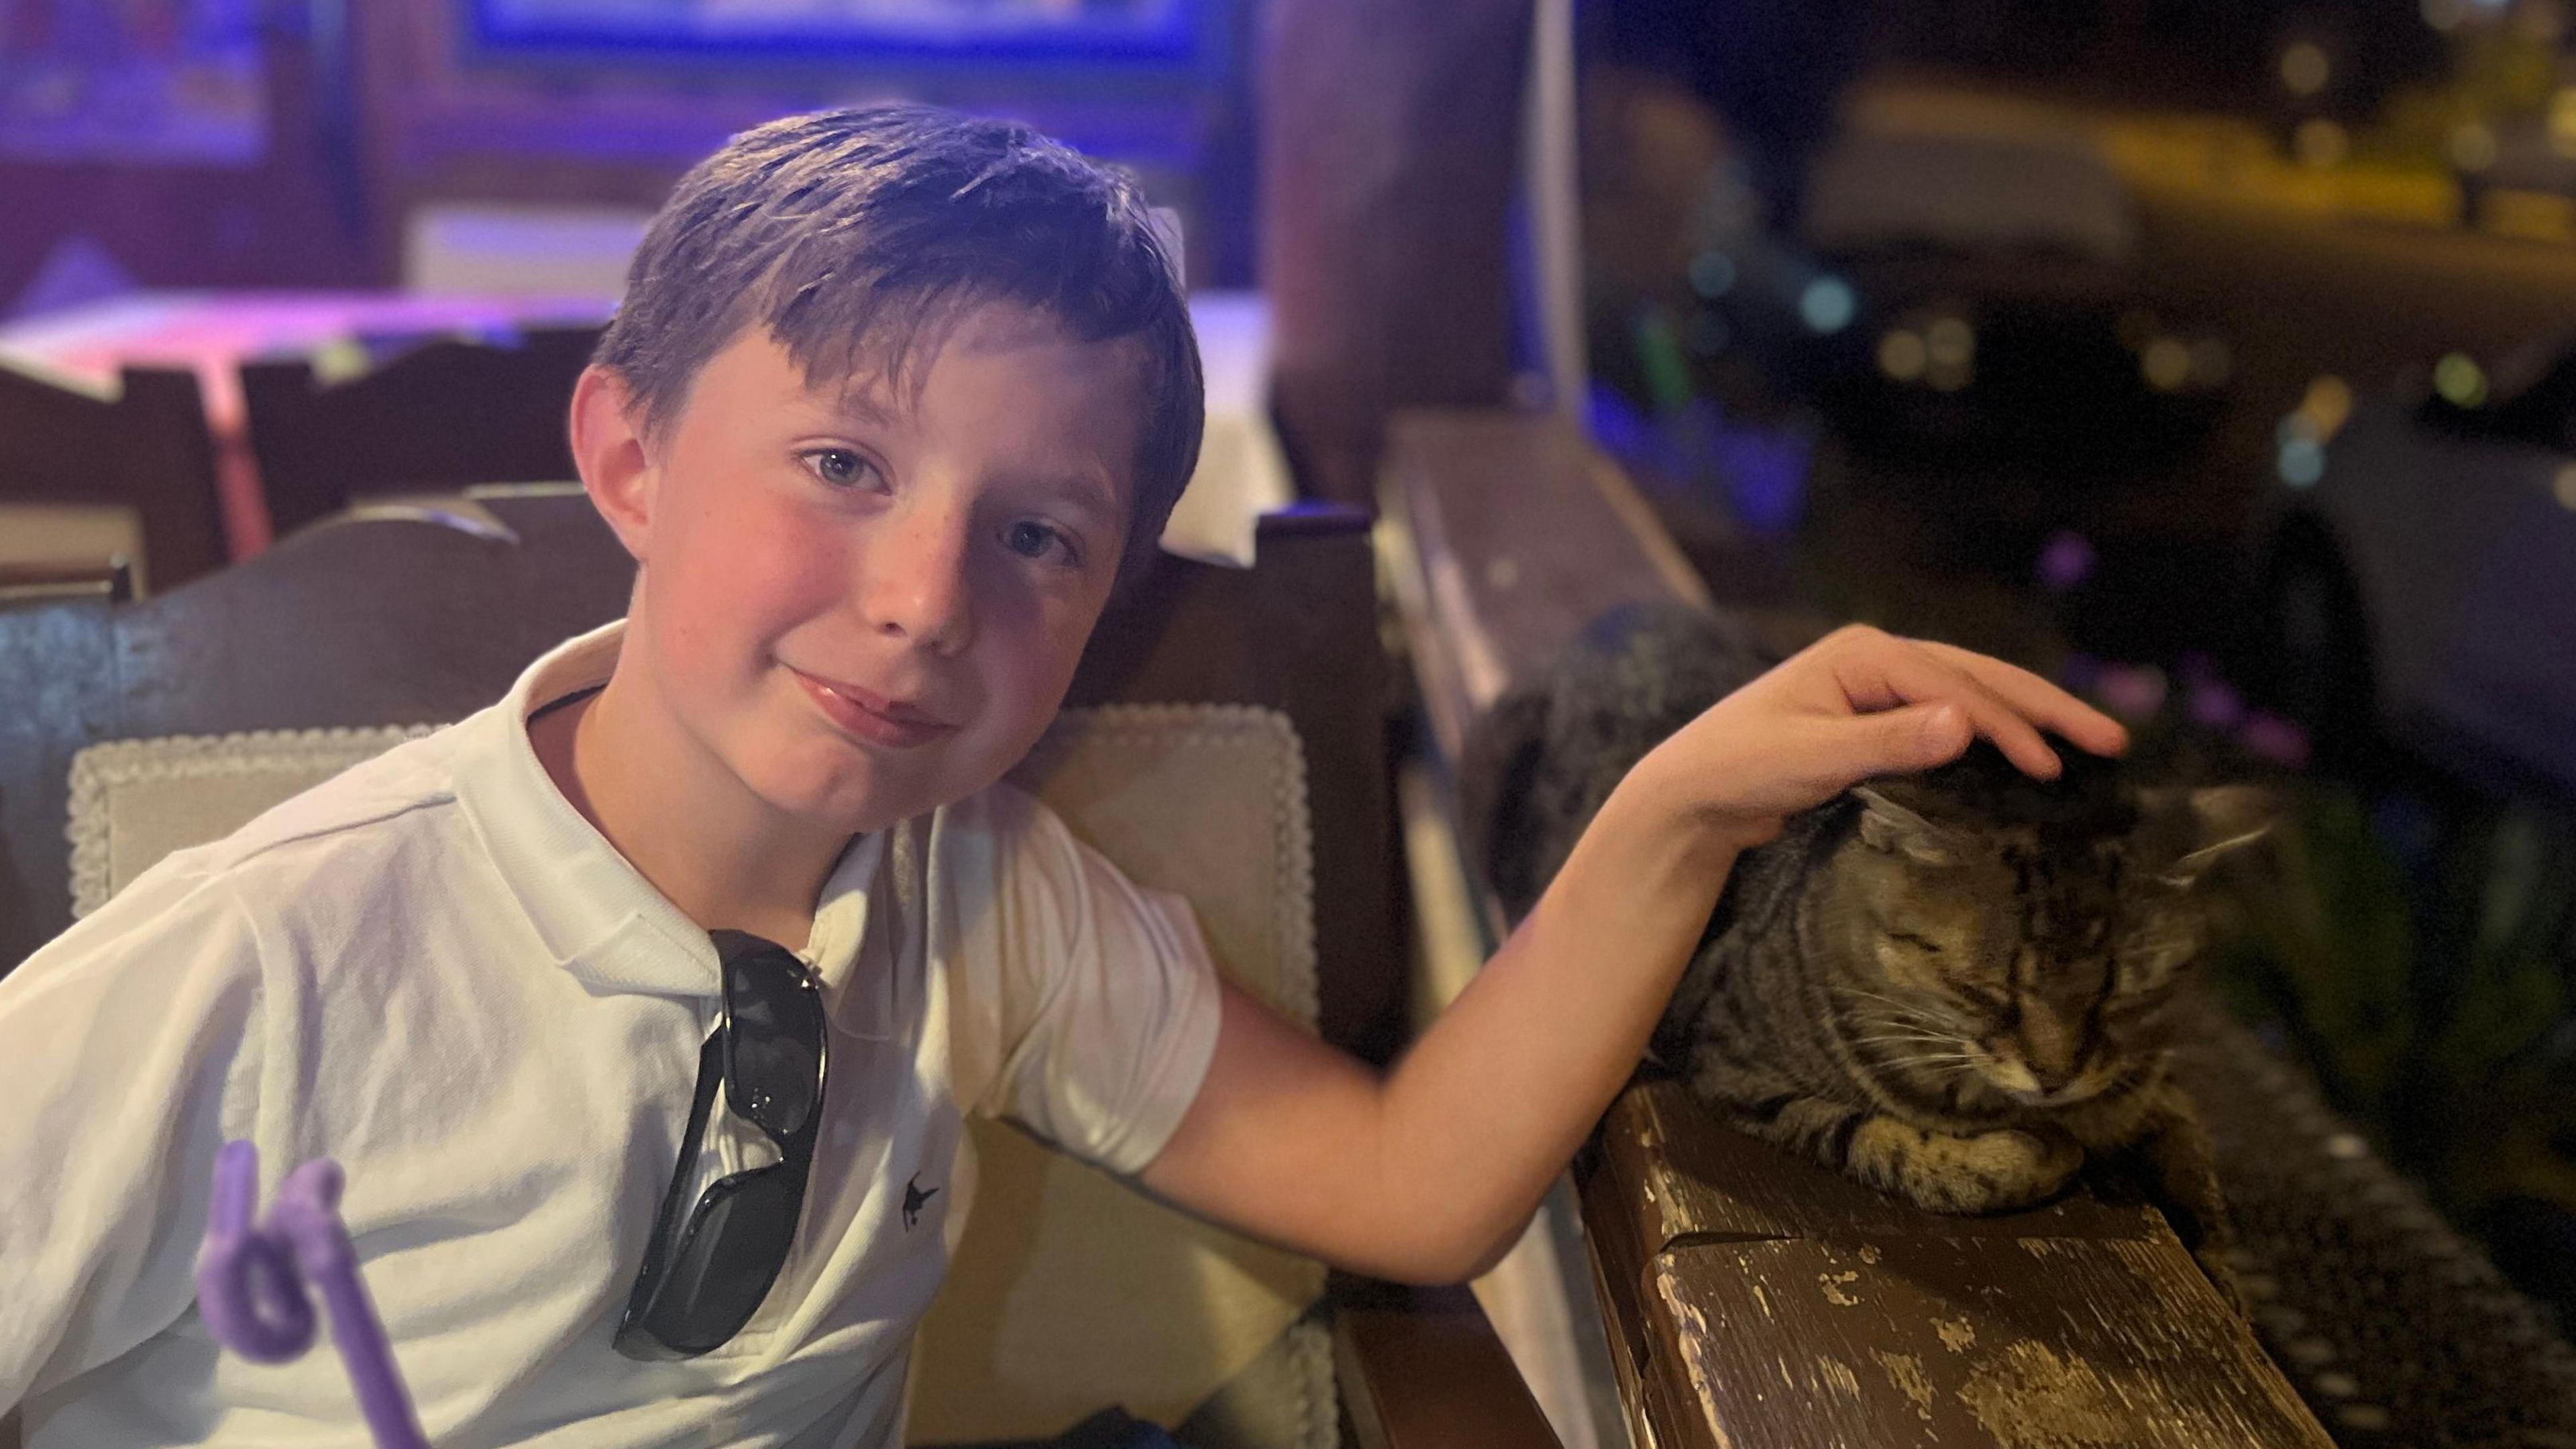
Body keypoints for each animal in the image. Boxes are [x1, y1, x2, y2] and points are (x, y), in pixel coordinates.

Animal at [1473, 598, 2277, 1273]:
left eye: (2119, 998)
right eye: (1987, 994)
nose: (2054, 1079)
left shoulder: (2153, 1083)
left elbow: (2192, 1153)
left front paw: (2219, 1262)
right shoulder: (1735, 1065)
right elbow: (1895, 1145)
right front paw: (2041, 1154)